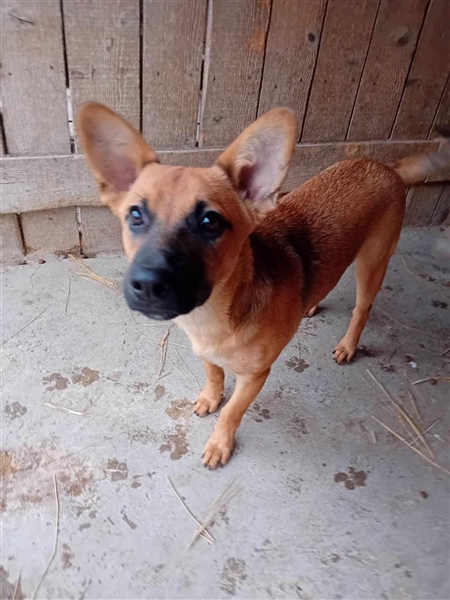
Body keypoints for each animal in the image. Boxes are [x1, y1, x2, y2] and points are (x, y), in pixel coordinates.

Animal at [77, 103, 449, 469]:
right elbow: (214, 375)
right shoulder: (207, 354)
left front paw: (220, 444)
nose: (148, 284)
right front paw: (210, 397)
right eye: (135, 215)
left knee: (362, 308)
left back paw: (348, 345)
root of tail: (386, 166)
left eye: (210, 221)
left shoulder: (255, 376)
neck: (215, 317)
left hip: (372, 264)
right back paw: (311, 304)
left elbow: (231, 412)